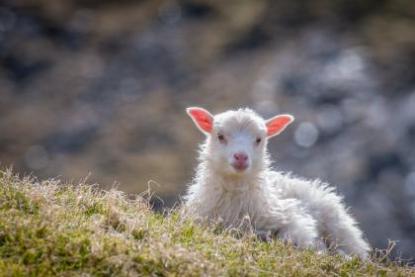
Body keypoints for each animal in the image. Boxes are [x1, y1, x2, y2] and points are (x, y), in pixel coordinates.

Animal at [184, 106, 372, 258]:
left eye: (259, 139)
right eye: (220, 136)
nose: (241, 157)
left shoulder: (292, 217)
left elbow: (293, 237)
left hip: (340, 228)